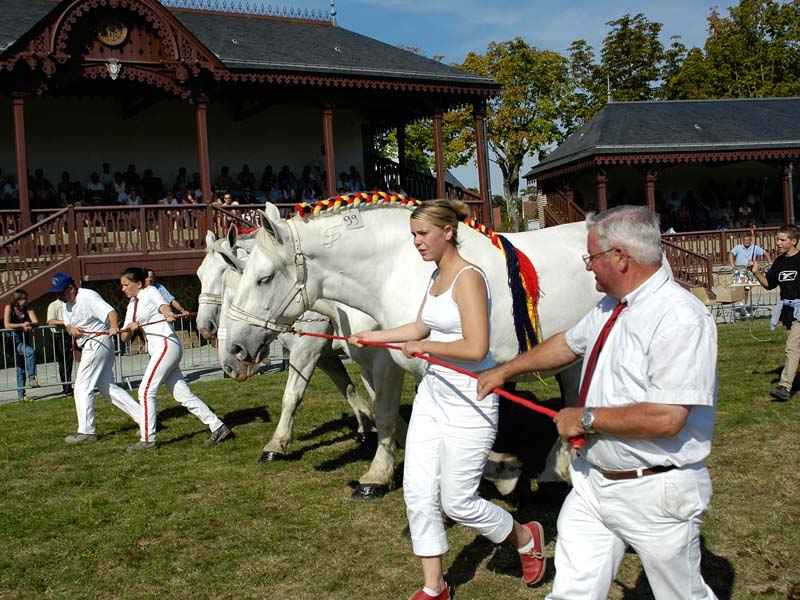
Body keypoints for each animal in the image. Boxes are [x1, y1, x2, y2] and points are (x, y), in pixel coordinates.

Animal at [197, 229, 378, 460]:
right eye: (199, 275)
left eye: (223, 276)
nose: (204, 327)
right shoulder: (324, 355)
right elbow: (346, 387)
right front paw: (367, 426)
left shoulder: (305, 351)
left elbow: (291, 395)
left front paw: (277, 445)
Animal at [223, 202, 600, 496]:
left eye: (264, 278)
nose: (235, 353)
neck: (397, 272)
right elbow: (391, 414)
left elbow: (402, 417)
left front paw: (503, 471)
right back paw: (555, 468)